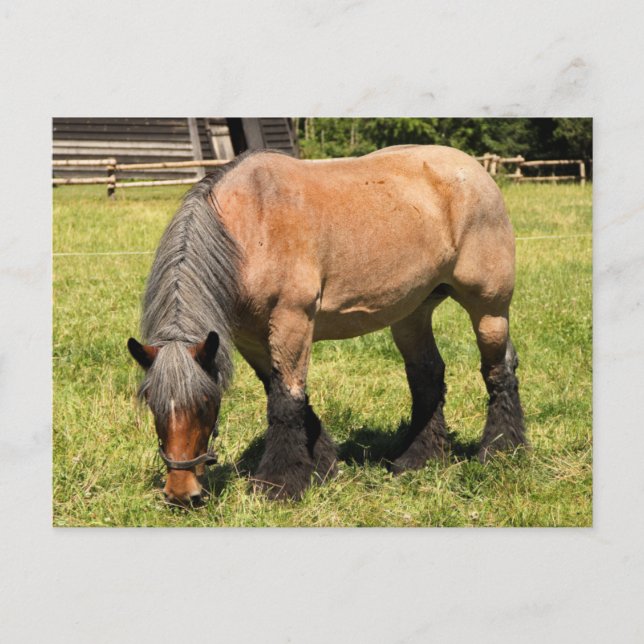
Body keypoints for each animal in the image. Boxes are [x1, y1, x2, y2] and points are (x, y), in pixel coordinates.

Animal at [128, 145, 527, 505]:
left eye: (207, 402)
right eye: (152, 404)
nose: (182, 494)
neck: (250, 226)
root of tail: (474, 169)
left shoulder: (292, 321)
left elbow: (286, 402)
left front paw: (279, 484)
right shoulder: (250, 339)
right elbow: (282, 393)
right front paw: (322, 465)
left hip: (489, 309)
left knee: (498, 371)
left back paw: (501, 451)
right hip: (412, 313)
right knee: (427, 376)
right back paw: (418, 459)